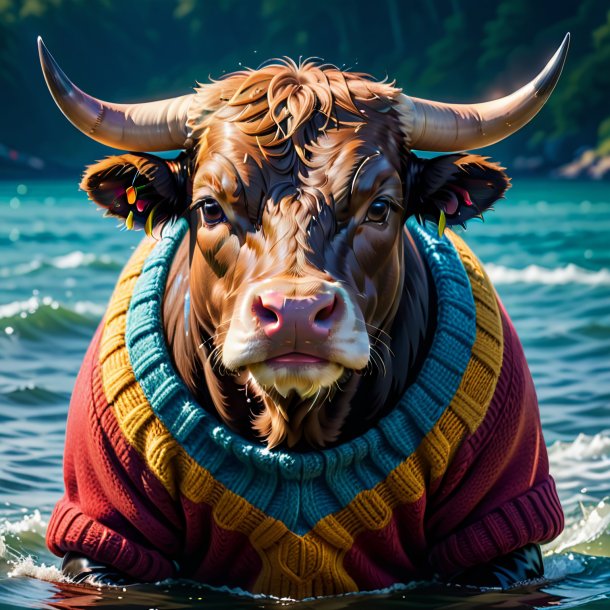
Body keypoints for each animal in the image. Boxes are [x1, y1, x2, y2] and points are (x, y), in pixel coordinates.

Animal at [40, 35, 568, 596]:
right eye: (210, 207)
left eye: (379, 207)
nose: (295, 311)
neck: (295, 428)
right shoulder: (103, 535)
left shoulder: (503, 531)